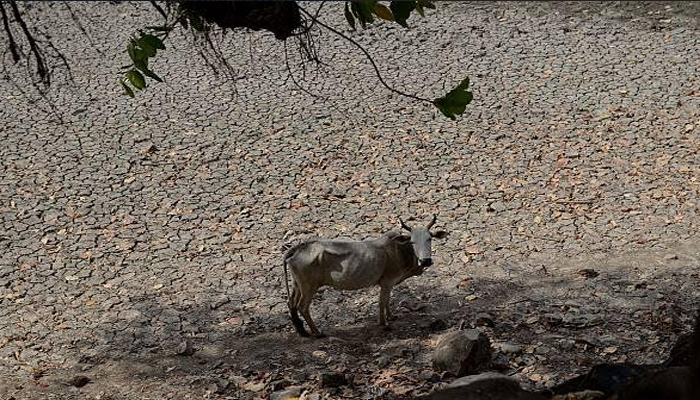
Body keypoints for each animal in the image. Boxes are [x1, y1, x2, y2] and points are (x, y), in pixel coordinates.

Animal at [282, 216, 446, 338]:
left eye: (429, 238)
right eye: (412, 241)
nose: (426, 260)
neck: (401, 251)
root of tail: (298, 247)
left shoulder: (389, 283)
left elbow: (387, 301)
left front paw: (391, 316)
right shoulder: (387, 281)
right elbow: (382, 302)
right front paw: (384, 324)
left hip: (298, 284)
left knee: (291, 303)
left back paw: (301, 331)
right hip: (309, 287)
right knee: (302, 306)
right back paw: (317, 332)